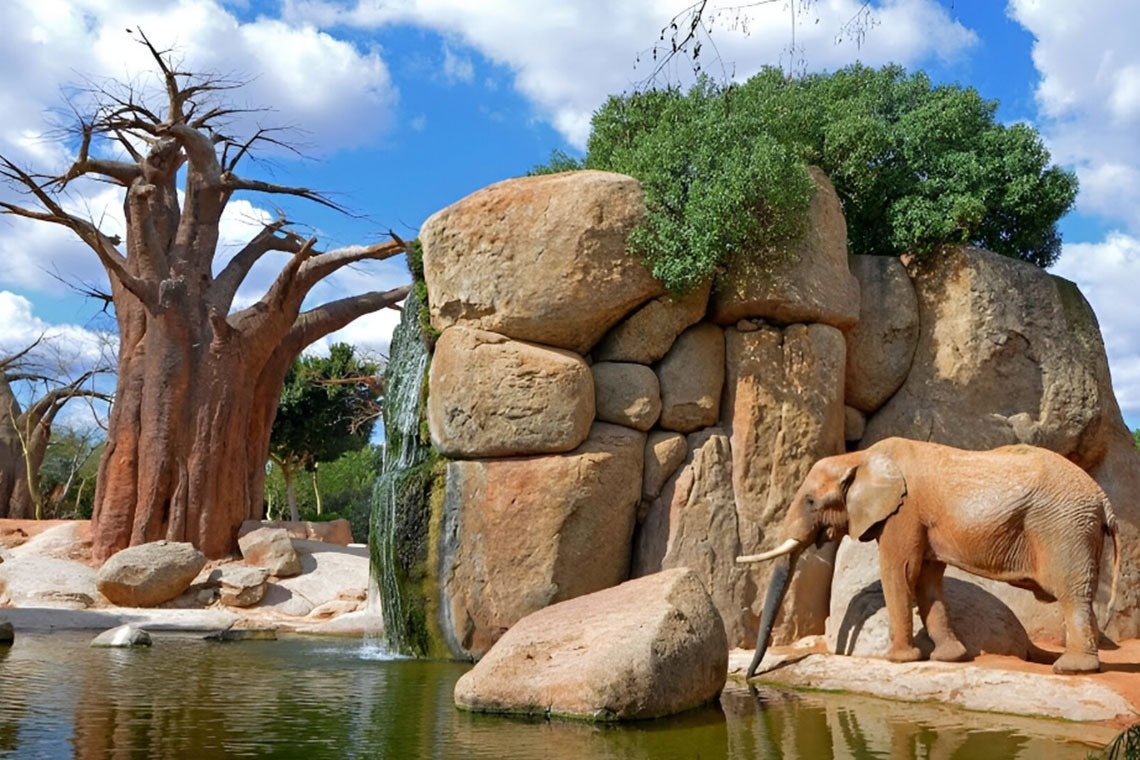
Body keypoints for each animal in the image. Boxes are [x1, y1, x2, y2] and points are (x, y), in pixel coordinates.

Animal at [737, 437, 1120, 678]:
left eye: (810, 502)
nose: (753, 676)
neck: (859, 457)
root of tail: (1103, 499)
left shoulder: (903, 512)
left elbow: (899, 571)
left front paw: (899, 661)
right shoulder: (922, 520)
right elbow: (927, 579)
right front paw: (949, 658)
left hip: (1065, 528)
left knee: (1072, 594)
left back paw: (1072, 669)